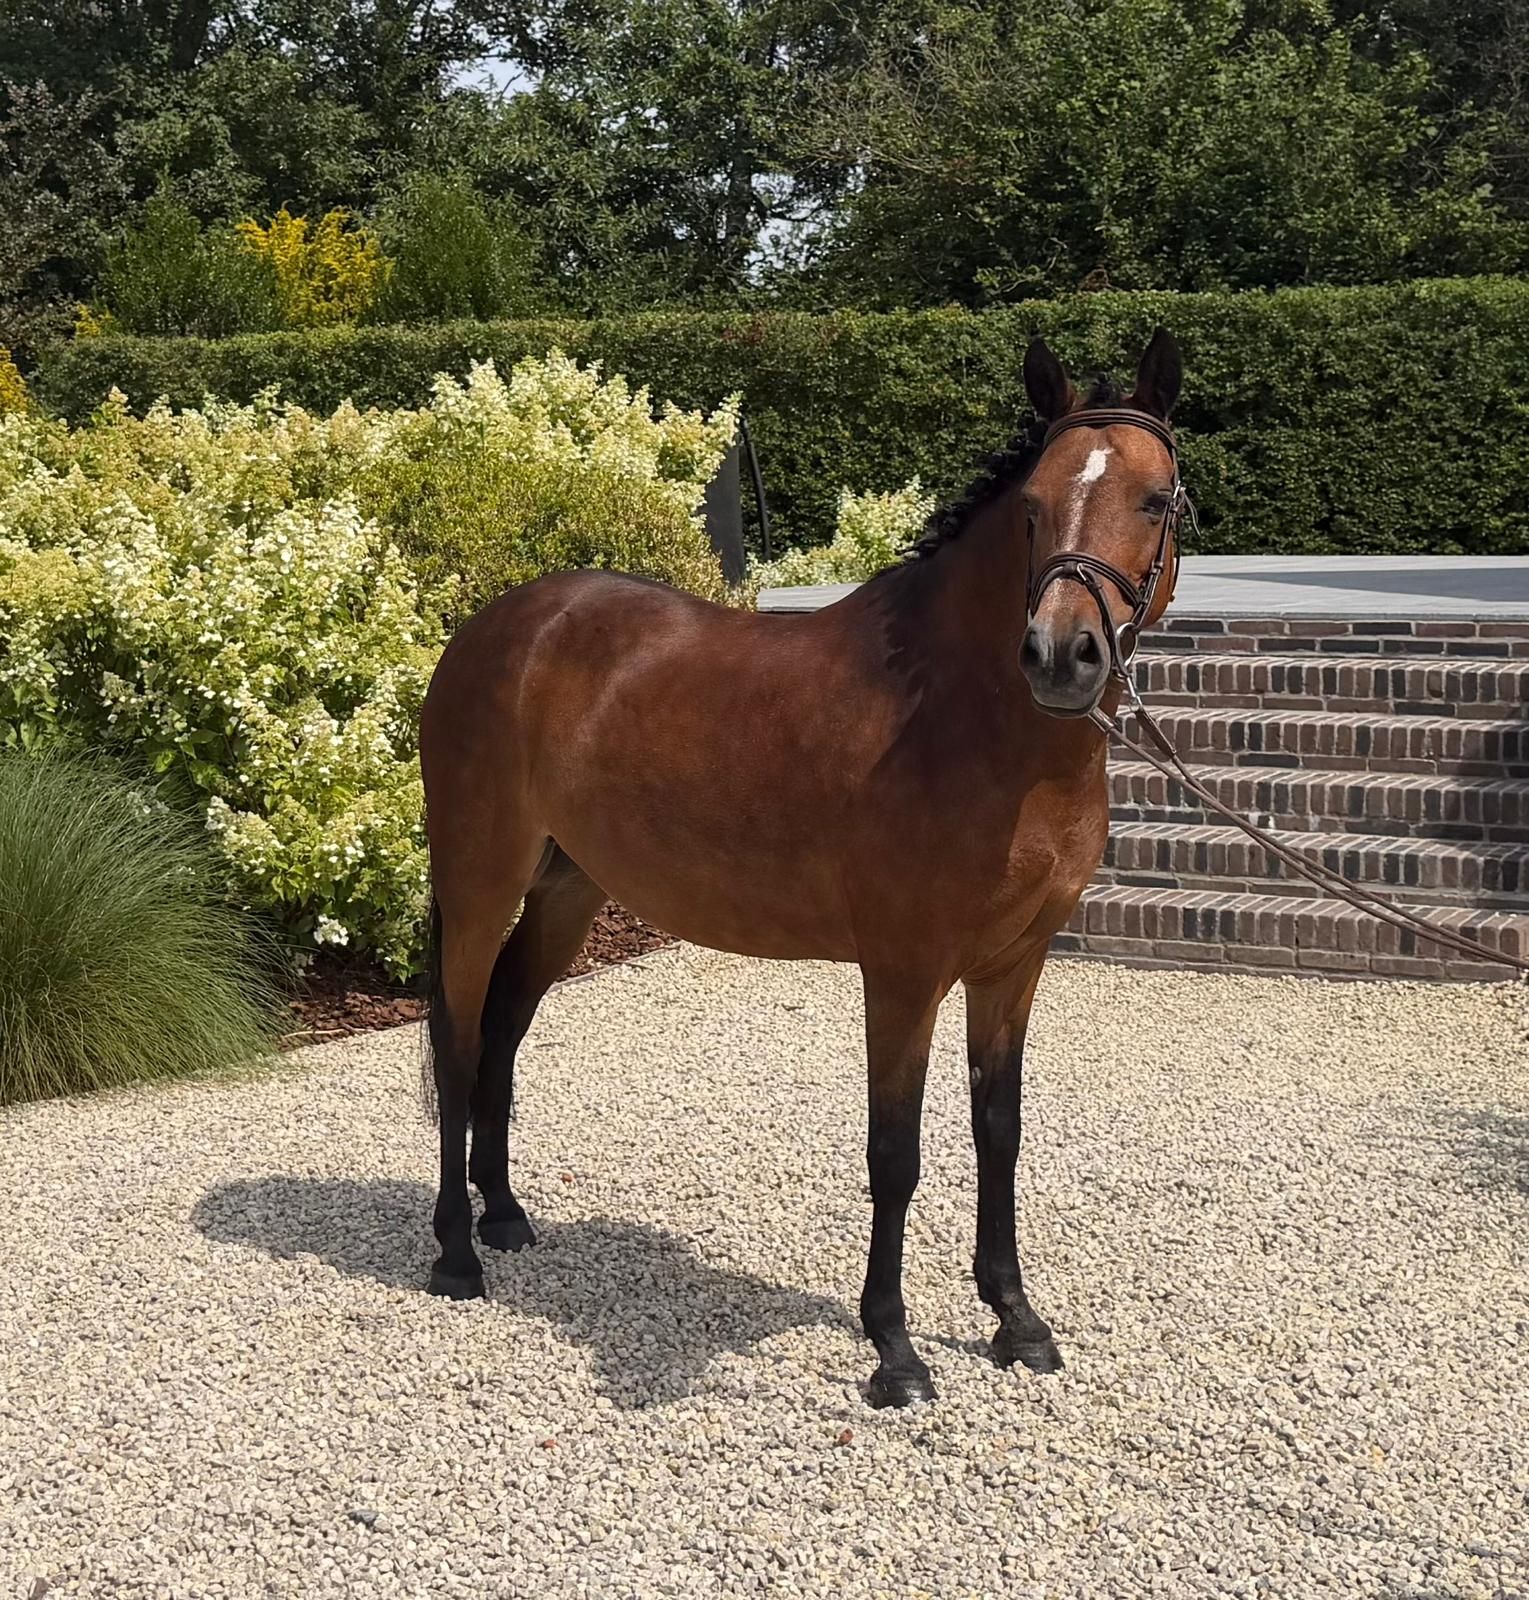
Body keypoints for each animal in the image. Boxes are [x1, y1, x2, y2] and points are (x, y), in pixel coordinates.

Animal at [417, 330, 1188, 1408]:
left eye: (1153, 500)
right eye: (1032, 506)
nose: (1059, 654)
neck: (964, 718)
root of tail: (497, 626)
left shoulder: (1013, 966)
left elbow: (998, 1131)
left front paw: (1015, 1320)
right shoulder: (903, 972)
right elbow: (895, 1152)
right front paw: (893, 1351)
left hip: (567, 894)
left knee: (501, 1033)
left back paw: (503, 1215)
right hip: (479, 884)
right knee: (454, 1042)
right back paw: (455, 1254)